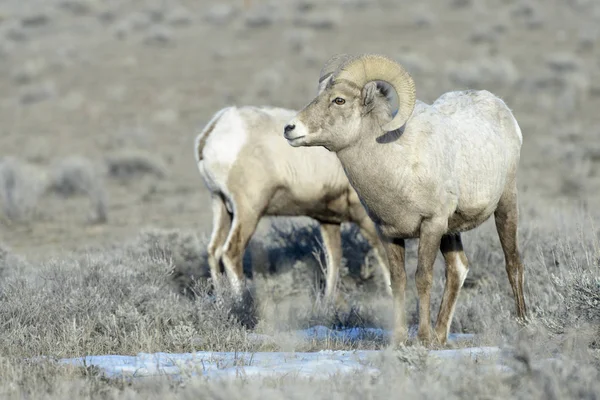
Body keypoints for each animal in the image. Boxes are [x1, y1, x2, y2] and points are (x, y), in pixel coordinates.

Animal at [193, 103, 390, 300]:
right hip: (247, 211)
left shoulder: (329, 221)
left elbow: (334, 258)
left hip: (221, 206)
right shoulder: (367, 220)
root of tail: (216, 128)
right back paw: (241, 301)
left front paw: (327, 301)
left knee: (214, 251)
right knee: (231, 252)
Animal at [284, 54, 528, 346]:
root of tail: (503, 109)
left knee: (513, 263)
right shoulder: (389, 233)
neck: (397, 166)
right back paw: (440, 337)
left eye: (339, 100)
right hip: (451, 231)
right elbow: (397, 281)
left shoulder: (431, 226)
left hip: (505, 205)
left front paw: (422, 338)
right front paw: (399, 339)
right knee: (458, 269)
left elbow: (422, 278)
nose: (289, 128)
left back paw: (522, 324)